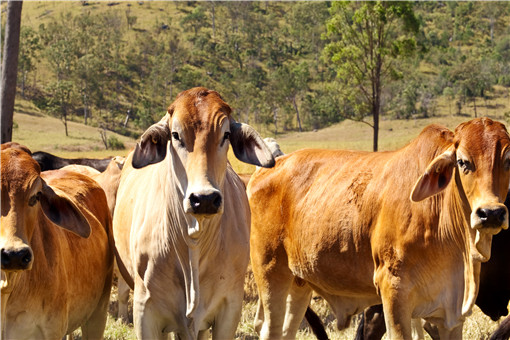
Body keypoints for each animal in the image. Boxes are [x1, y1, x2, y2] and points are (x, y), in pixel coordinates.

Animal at [247, 117, 510, 340]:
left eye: (508, 161)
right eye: (463, 162)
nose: (491, 213)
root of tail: (269, 167)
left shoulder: (450, 315)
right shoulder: (393, 292)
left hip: (298, 282)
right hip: (270, 272)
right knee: (269, 329)